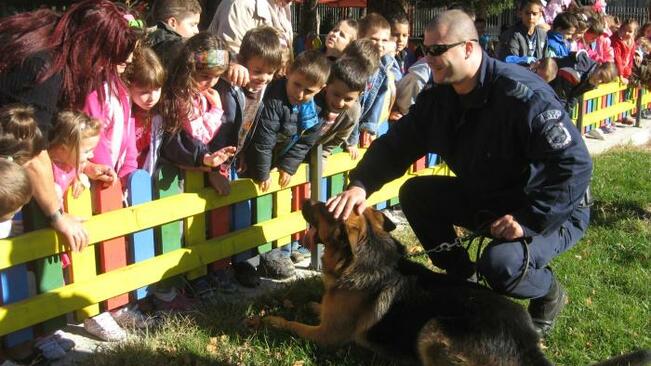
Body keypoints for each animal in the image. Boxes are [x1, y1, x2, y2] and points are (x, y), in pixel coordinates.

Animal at [264, 202, 651, 366]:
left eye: (326, 210)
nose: (305, 200)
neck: (367, 259)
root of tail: (526, 345)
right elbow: (317, 307)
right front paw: (312, 302)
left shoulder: (326, 336)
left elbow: (290, 324)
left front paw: (267, 319)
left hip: (432, 331)